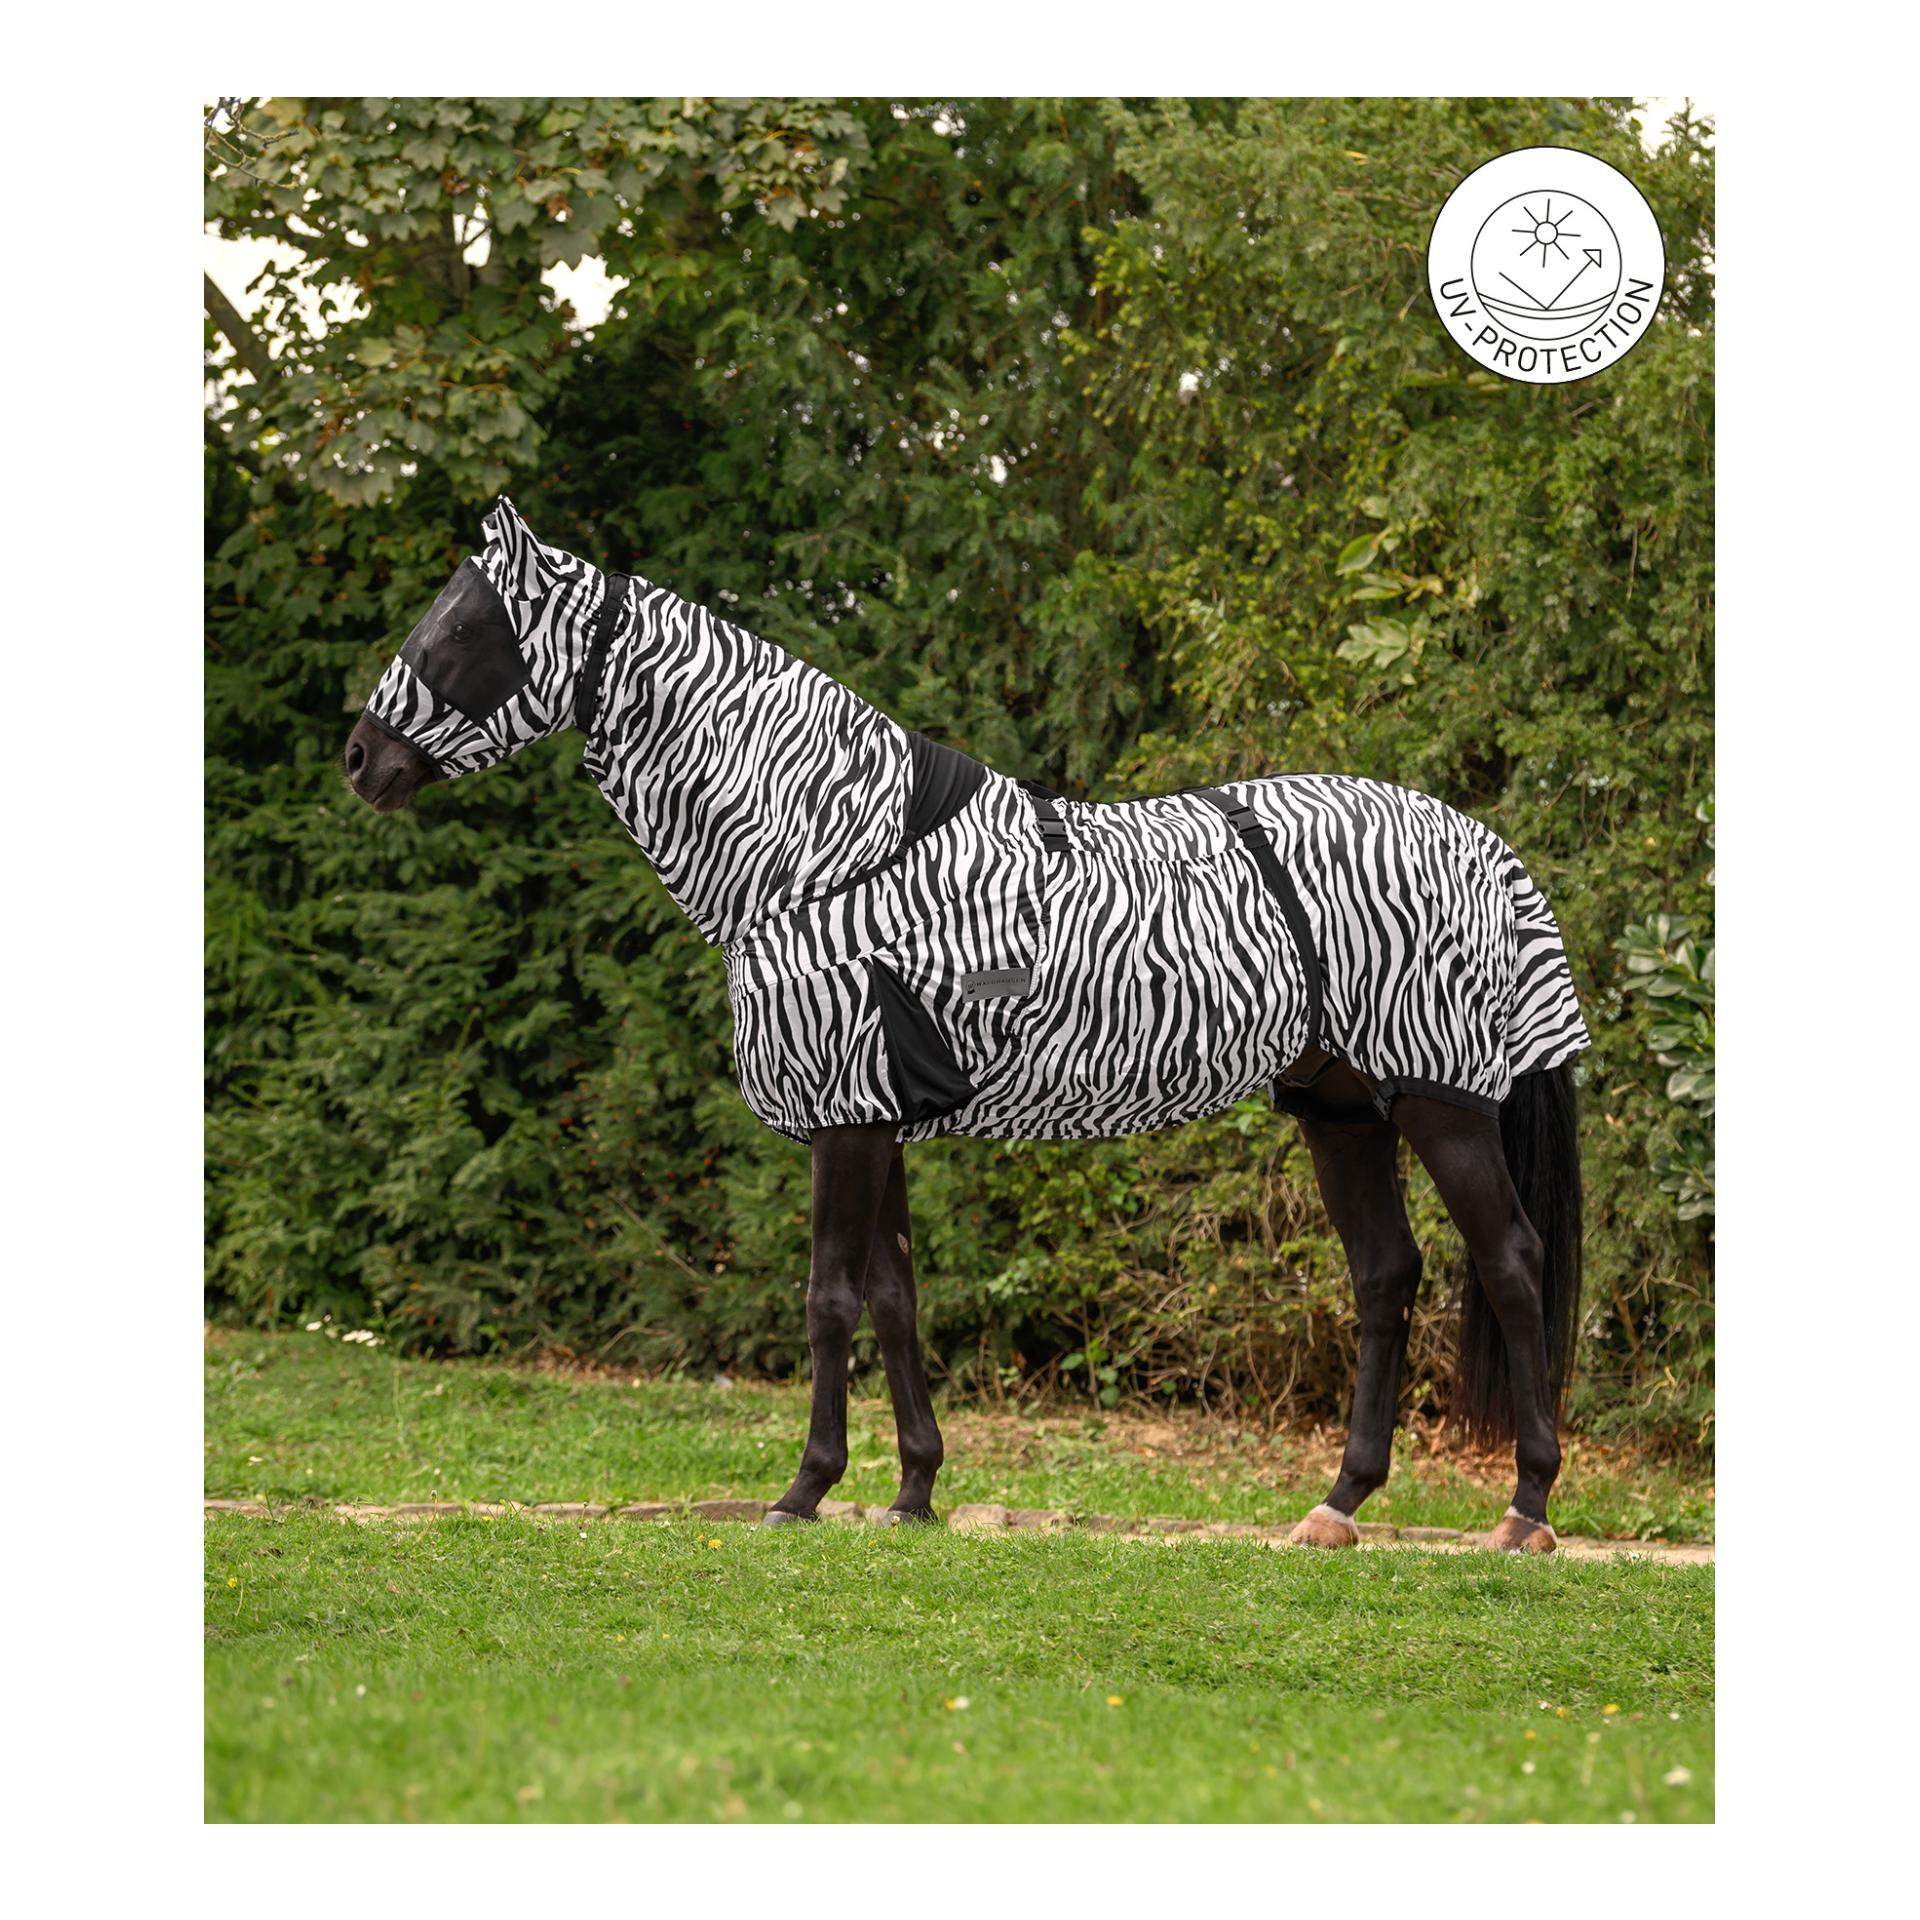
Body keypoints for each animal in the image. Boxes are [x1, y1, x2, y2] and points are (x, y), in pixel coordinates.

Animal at [345, 498, 1591, 1553]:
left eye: (463, 626)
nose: (361, 759)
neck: (823, 853)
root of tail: (1482, 843)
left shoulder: (846, 1120)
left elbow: (829, 1300)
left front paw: (805, 1490)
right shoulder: (875, 1117)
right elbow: (894, 1302)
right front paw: (912, 1490)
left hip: (1440, 1104)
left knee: (1512, 1263)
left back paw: (1526, 1508)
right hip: (1339, 1109)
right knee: (1386, 1275)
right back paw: (1338, 1505)